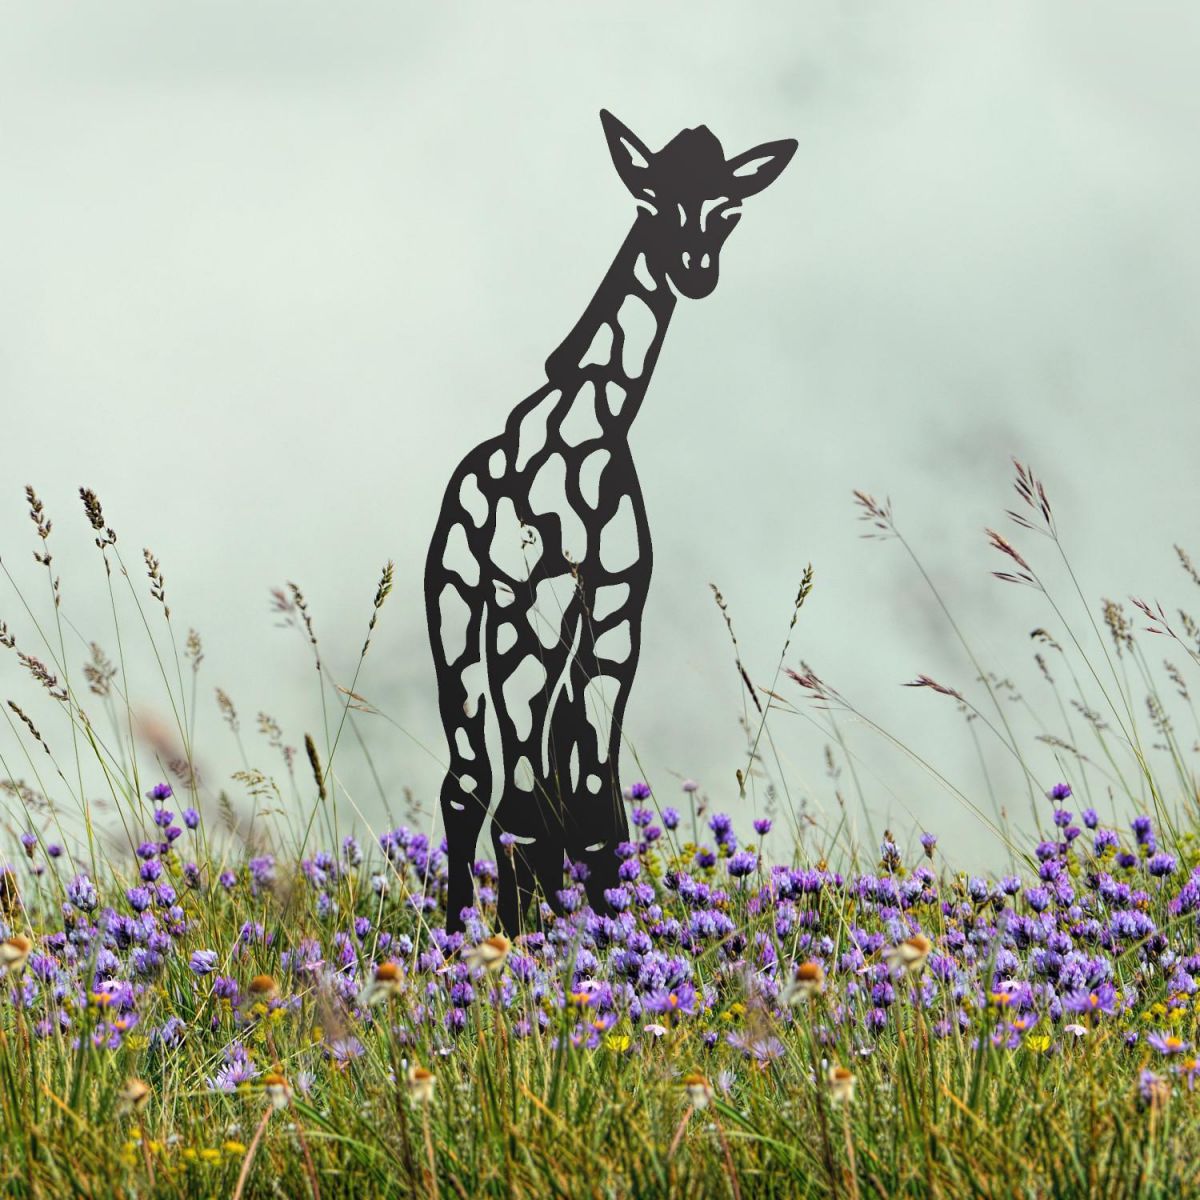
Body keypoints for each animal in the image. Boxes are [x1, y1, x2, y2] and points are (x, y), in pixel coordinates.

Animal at [426, 110, 796, 935]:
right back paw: (465, 929)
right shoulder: (525, 605)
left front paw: (605, 924)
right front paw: (526, 940)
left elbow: (594, 802)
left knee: (530, 776)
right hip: (462, 613)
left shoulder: (617, 606)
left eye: (728, 208)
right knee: (471, 779)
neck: (594, 424)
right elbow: (526, 806)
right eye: (651, 198)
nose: (695, 271)